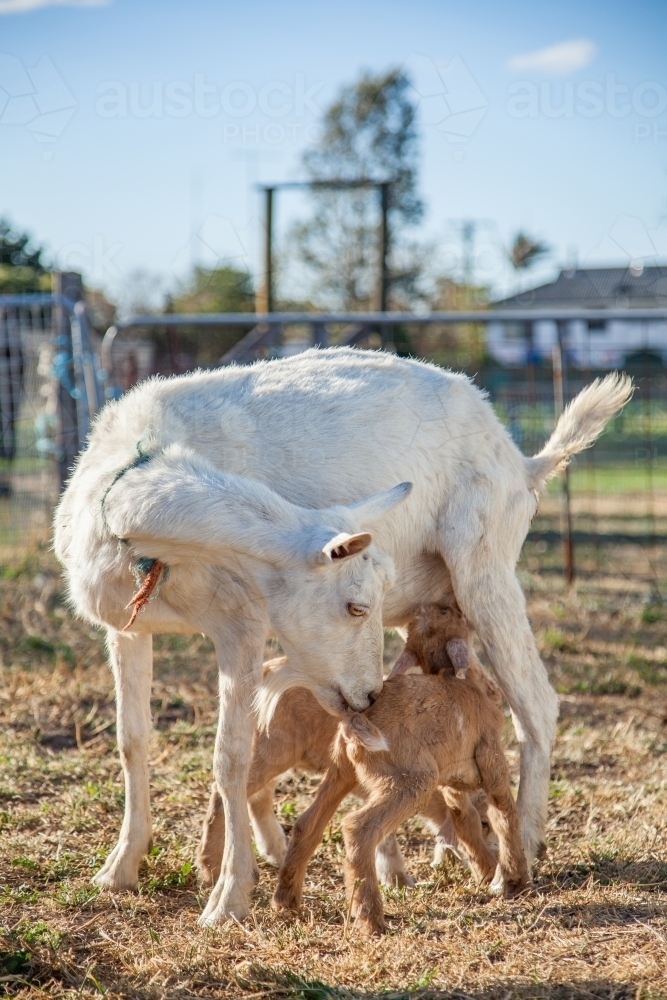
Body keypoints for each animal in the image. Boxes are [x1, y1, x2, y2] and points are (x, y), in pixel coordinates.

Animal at [53, 349, 631, 925]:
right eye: (356, 606)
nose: (370, 695)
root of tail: (521, 461)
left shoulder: (241, 624)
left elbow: (230, 759)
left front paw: (228, 899)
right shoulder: (124, 629)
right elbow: (132, 741)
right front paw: (119, 869)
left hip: (484, 566)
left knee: (535, 703)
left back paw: (522, 850)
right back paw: (435, 850)